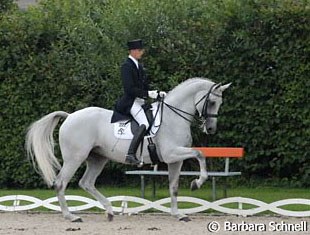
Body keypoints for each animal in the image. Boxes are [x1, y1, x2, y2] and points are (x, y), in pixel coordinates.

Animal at [26, 77, 230, 222]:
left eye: (220, 103)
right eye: (212, 102)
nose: (211, 129)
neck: (174, 117)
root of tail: (70, 116)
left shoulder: (175, 159)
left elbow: (174, 187)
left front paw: (178, 214)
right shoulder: (171, 153)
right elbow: (199, 154)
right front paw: (197, 183)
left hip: (97, 158)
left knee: (87, 183)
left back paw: (109, 211)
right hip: (75, 158)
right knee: (61, 183)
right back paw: (71, 216)